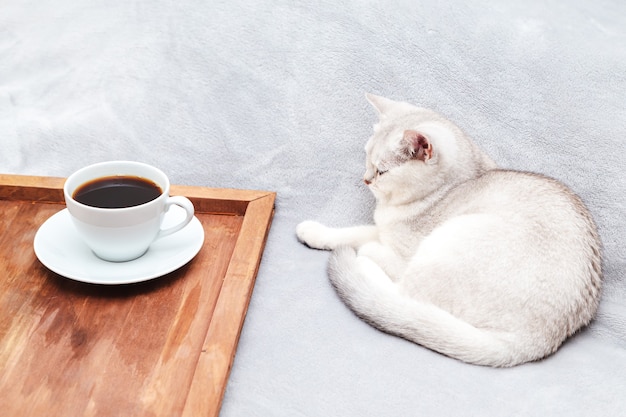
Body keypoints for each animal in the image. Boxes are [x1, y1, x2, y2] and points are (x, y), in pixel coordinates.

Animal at [294, 93, 604, 364]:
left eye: (382, 170)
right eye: (366, 158)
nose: (366, 179)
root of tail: (534, 341)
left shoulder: (401, 251)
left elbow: (367, 242)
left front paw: (356, 247)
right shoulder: (384, 231)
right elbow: (353, 231)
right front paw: (313, 232)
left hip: (451, 240)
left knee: (401, 296)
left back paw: (364, 266)